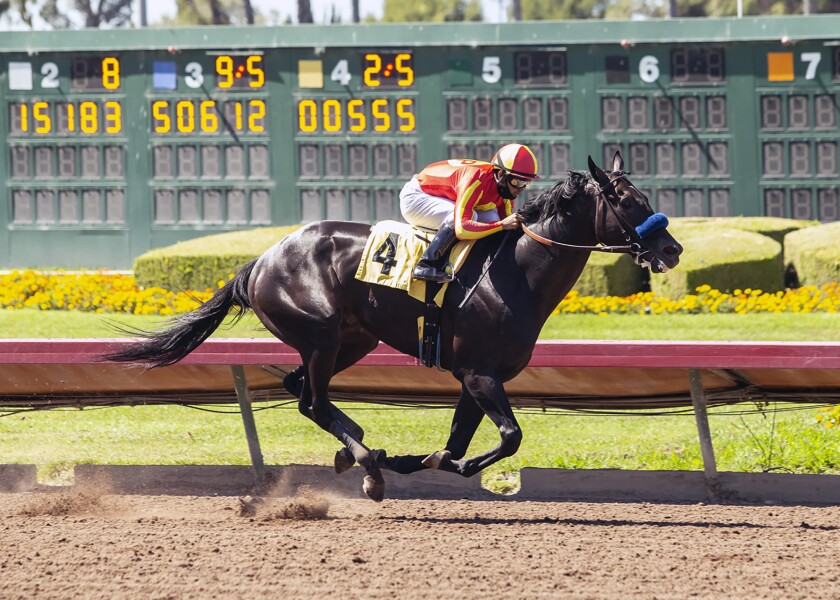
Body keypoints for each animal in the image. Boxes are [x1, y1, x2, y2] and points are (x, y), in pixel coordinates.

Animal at [102, 151, 683, 502]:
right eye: (627, 201)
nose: (672, 249)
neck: (517, 273)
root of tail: (260, 260)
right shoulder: (479, 374)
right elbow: (509, 437)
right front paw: (407, 460)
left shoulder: (475, 379)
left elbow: (455, 447)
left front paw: (414, 456)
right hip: (322, 333)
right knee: (311, 400)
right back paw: (368, 465)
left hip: (354, 339)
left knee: (302, 389)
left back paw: (358, 449)